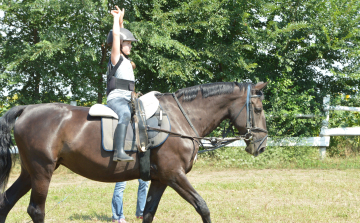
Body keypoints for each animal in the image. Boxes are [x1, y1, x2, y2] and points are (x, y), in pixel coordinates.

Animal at [0, 81, 268, 222]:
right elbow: (202, 206)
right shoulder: (174, 174)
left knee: (6, 201)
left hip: (30, 172)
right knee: (36, 210)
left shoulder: (161, 179)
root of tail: (26, 109)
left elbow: (148, 213)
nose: (262, 145)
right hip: (42, 171)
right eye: (257, 109)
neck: (180, 119)